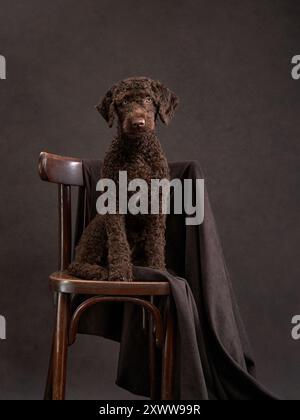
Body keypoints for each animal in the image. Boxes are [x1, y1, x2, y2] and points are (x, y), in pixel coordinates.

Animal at [67, 77, 178, 280]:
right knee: (76, 265)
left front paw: (158, 269)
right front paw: (120, 272)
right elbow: (118, 241)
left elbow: (156, 241)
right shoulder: (114, 201)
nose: (138, 123)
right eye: (124, 102)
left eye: (149, 99)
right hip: (98, 224)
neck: (137, 150)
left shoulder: (157, 202)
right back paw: (99, 271)